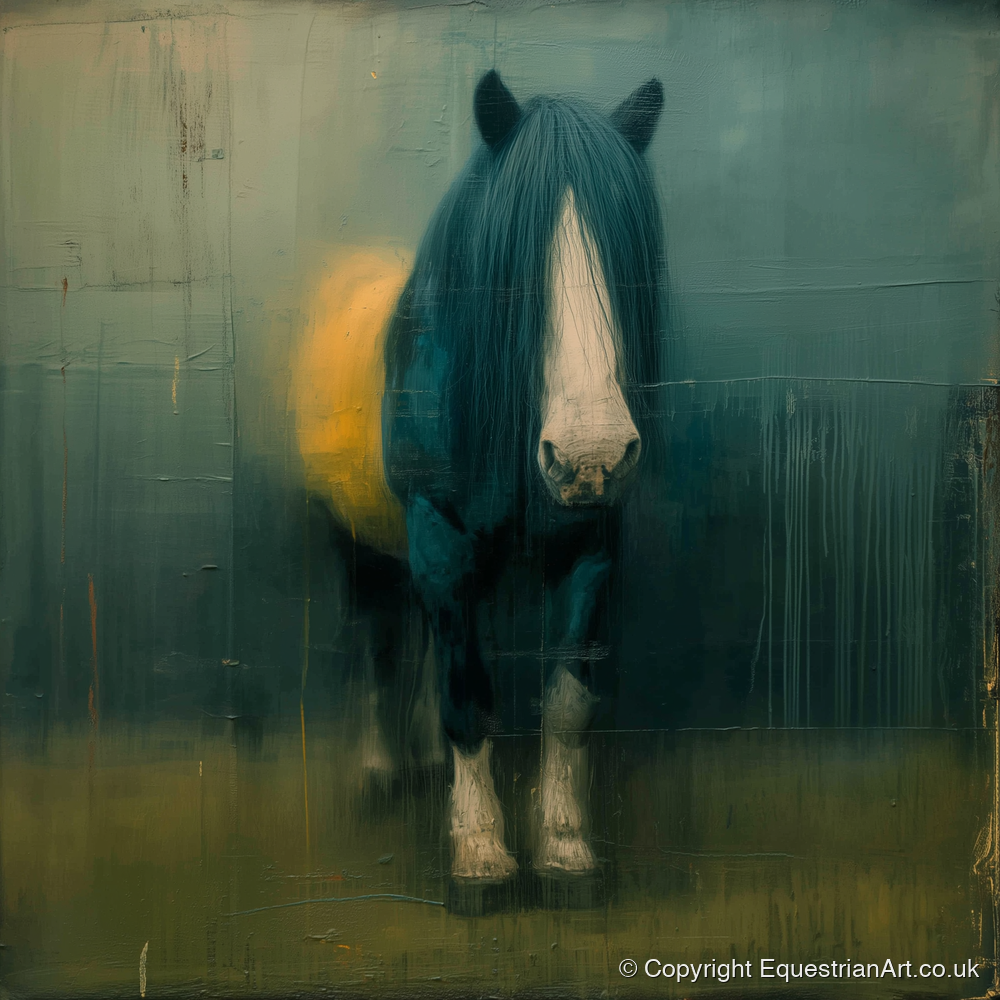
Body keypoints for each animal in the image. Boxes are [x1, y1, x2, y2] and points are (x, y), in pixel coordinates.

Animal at [294, 70, 664, 889]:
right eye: (512, 274)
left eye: (627, 260)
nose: (591, 454)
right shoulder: (437, 530)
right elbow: (466, 691)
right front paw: (481, 852)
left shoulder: (589, 544)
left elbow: (566, 701)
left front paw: (563, 848)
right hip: (354, 535)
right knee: (376, 636)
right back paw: (379, 768)